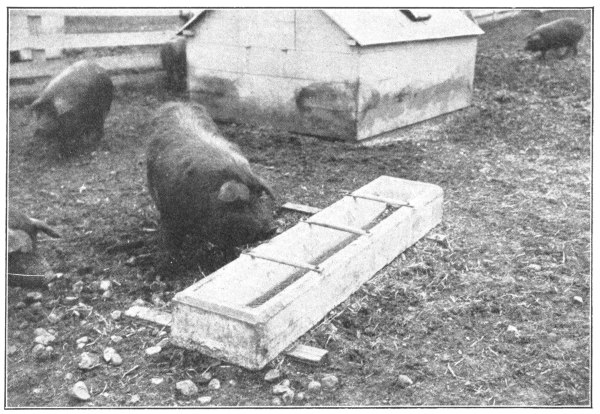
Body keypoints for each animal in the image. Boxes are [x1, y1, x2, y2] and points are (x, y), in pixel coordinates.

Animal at [146, 102, 277, 252]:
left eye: (260, 197)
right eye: (243, 203)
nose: (273, 229)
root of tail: (177, 103)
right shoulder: (168, 213)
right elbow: (171, 242)